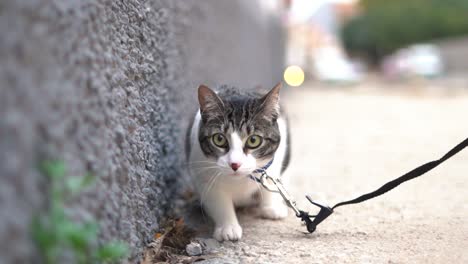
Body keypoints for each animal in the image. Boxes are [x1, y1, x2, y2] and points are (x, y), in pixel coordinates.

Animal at [186, 83, 288, 241]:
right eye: (219, 139)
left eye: (253, 140)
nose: (235, 164)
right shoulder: (203, 174)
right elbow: (219, 201)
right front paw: (228, 227)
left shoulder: (275, 161)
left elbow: (270, 183)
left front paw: (271, 207)